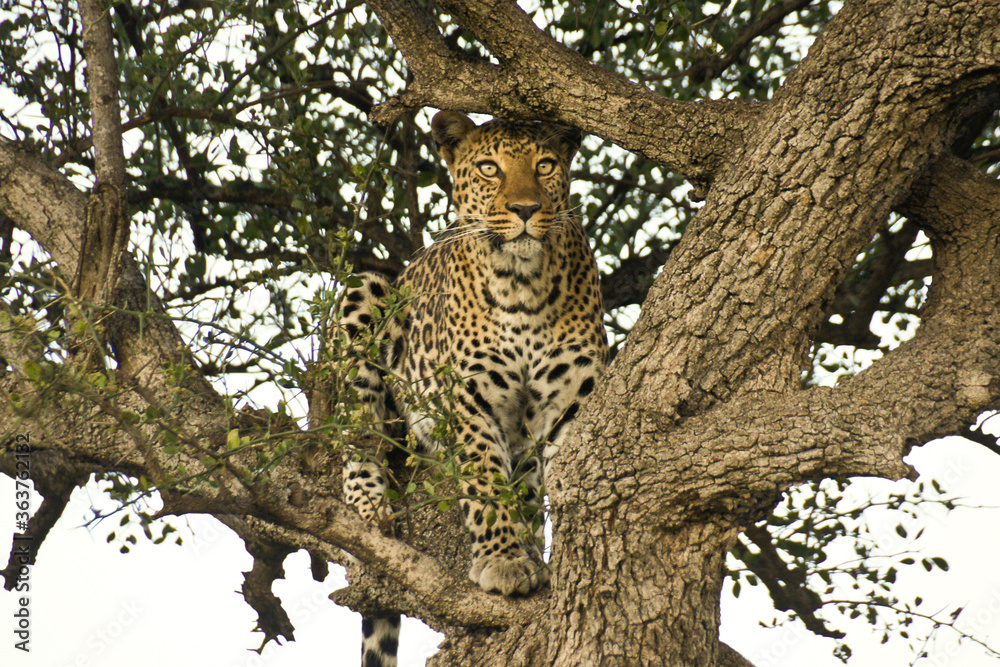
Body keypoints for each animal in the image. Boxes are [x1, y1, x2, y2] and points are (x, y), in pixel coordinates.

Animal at [335, 111, 608, 667]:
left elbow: (553, 486)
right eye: (488, 167)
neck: (523, 284)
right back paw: (370, 502)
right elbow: (485, 481)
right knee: (358, 431)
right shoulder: (471, 397)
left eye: (545, 165)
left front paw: (544, 556)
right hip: (368, 291)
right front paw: (502, 561)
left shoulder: (567, 404)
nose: (525, 209)